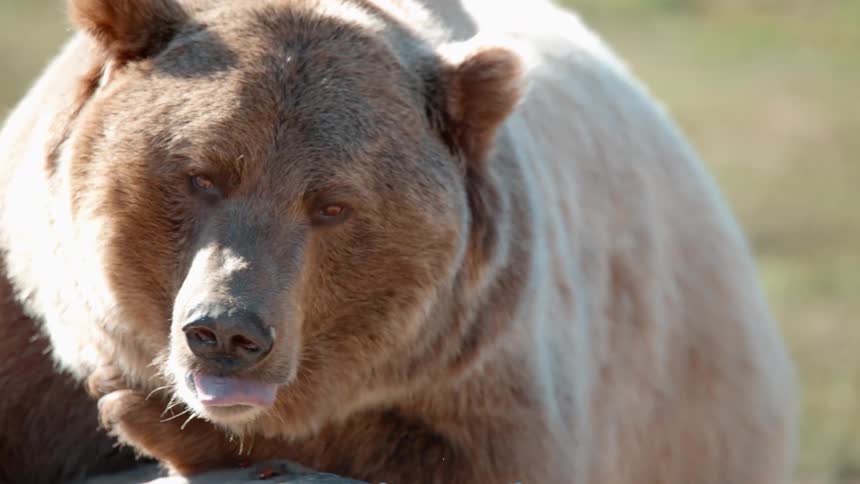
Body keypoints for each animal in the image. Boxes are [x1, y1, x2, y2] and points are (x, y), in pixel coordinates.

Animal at [0, 0, 797, 483]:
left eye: (332, 204)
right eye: (199, 175)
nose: (227, 332)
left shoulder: (486, 376)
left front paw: (141, 416)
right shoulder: (28, 327)